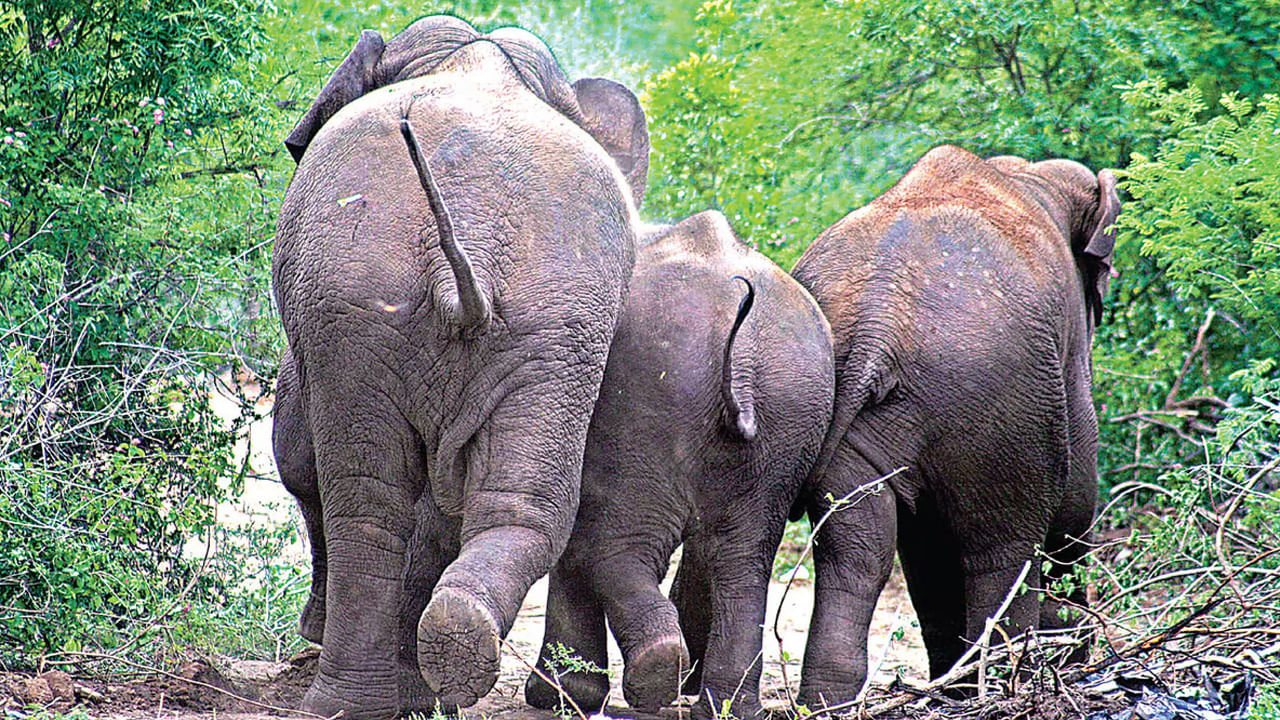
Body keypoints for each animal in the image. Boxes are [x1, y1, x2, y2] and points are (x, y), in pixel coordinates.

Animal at [271, 16, 650, 717]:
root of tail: (469, 238)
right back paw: (448, 649)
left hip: (357, 301)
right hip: (555, 326)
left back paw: (348, 700)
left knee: (364, 499)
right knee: (520, 504)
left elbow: (297, 448)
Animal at [524, 210, 834, 717]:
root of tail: (743, 353)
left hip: (647, 403)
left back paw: (655, 675)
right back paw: (724, 705)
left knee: (612, 546)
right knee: (745, 556)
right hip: (789, 413)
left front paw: (557, 697)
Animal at [788, 144, 1121, 702]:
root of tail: (879, 322)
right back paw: (1005, 687)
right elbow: (1075, 500)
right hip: (1005, 404)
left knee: (859, 550)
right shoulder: (1067, 356)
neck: (1027, 176)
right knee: (1003, 550)